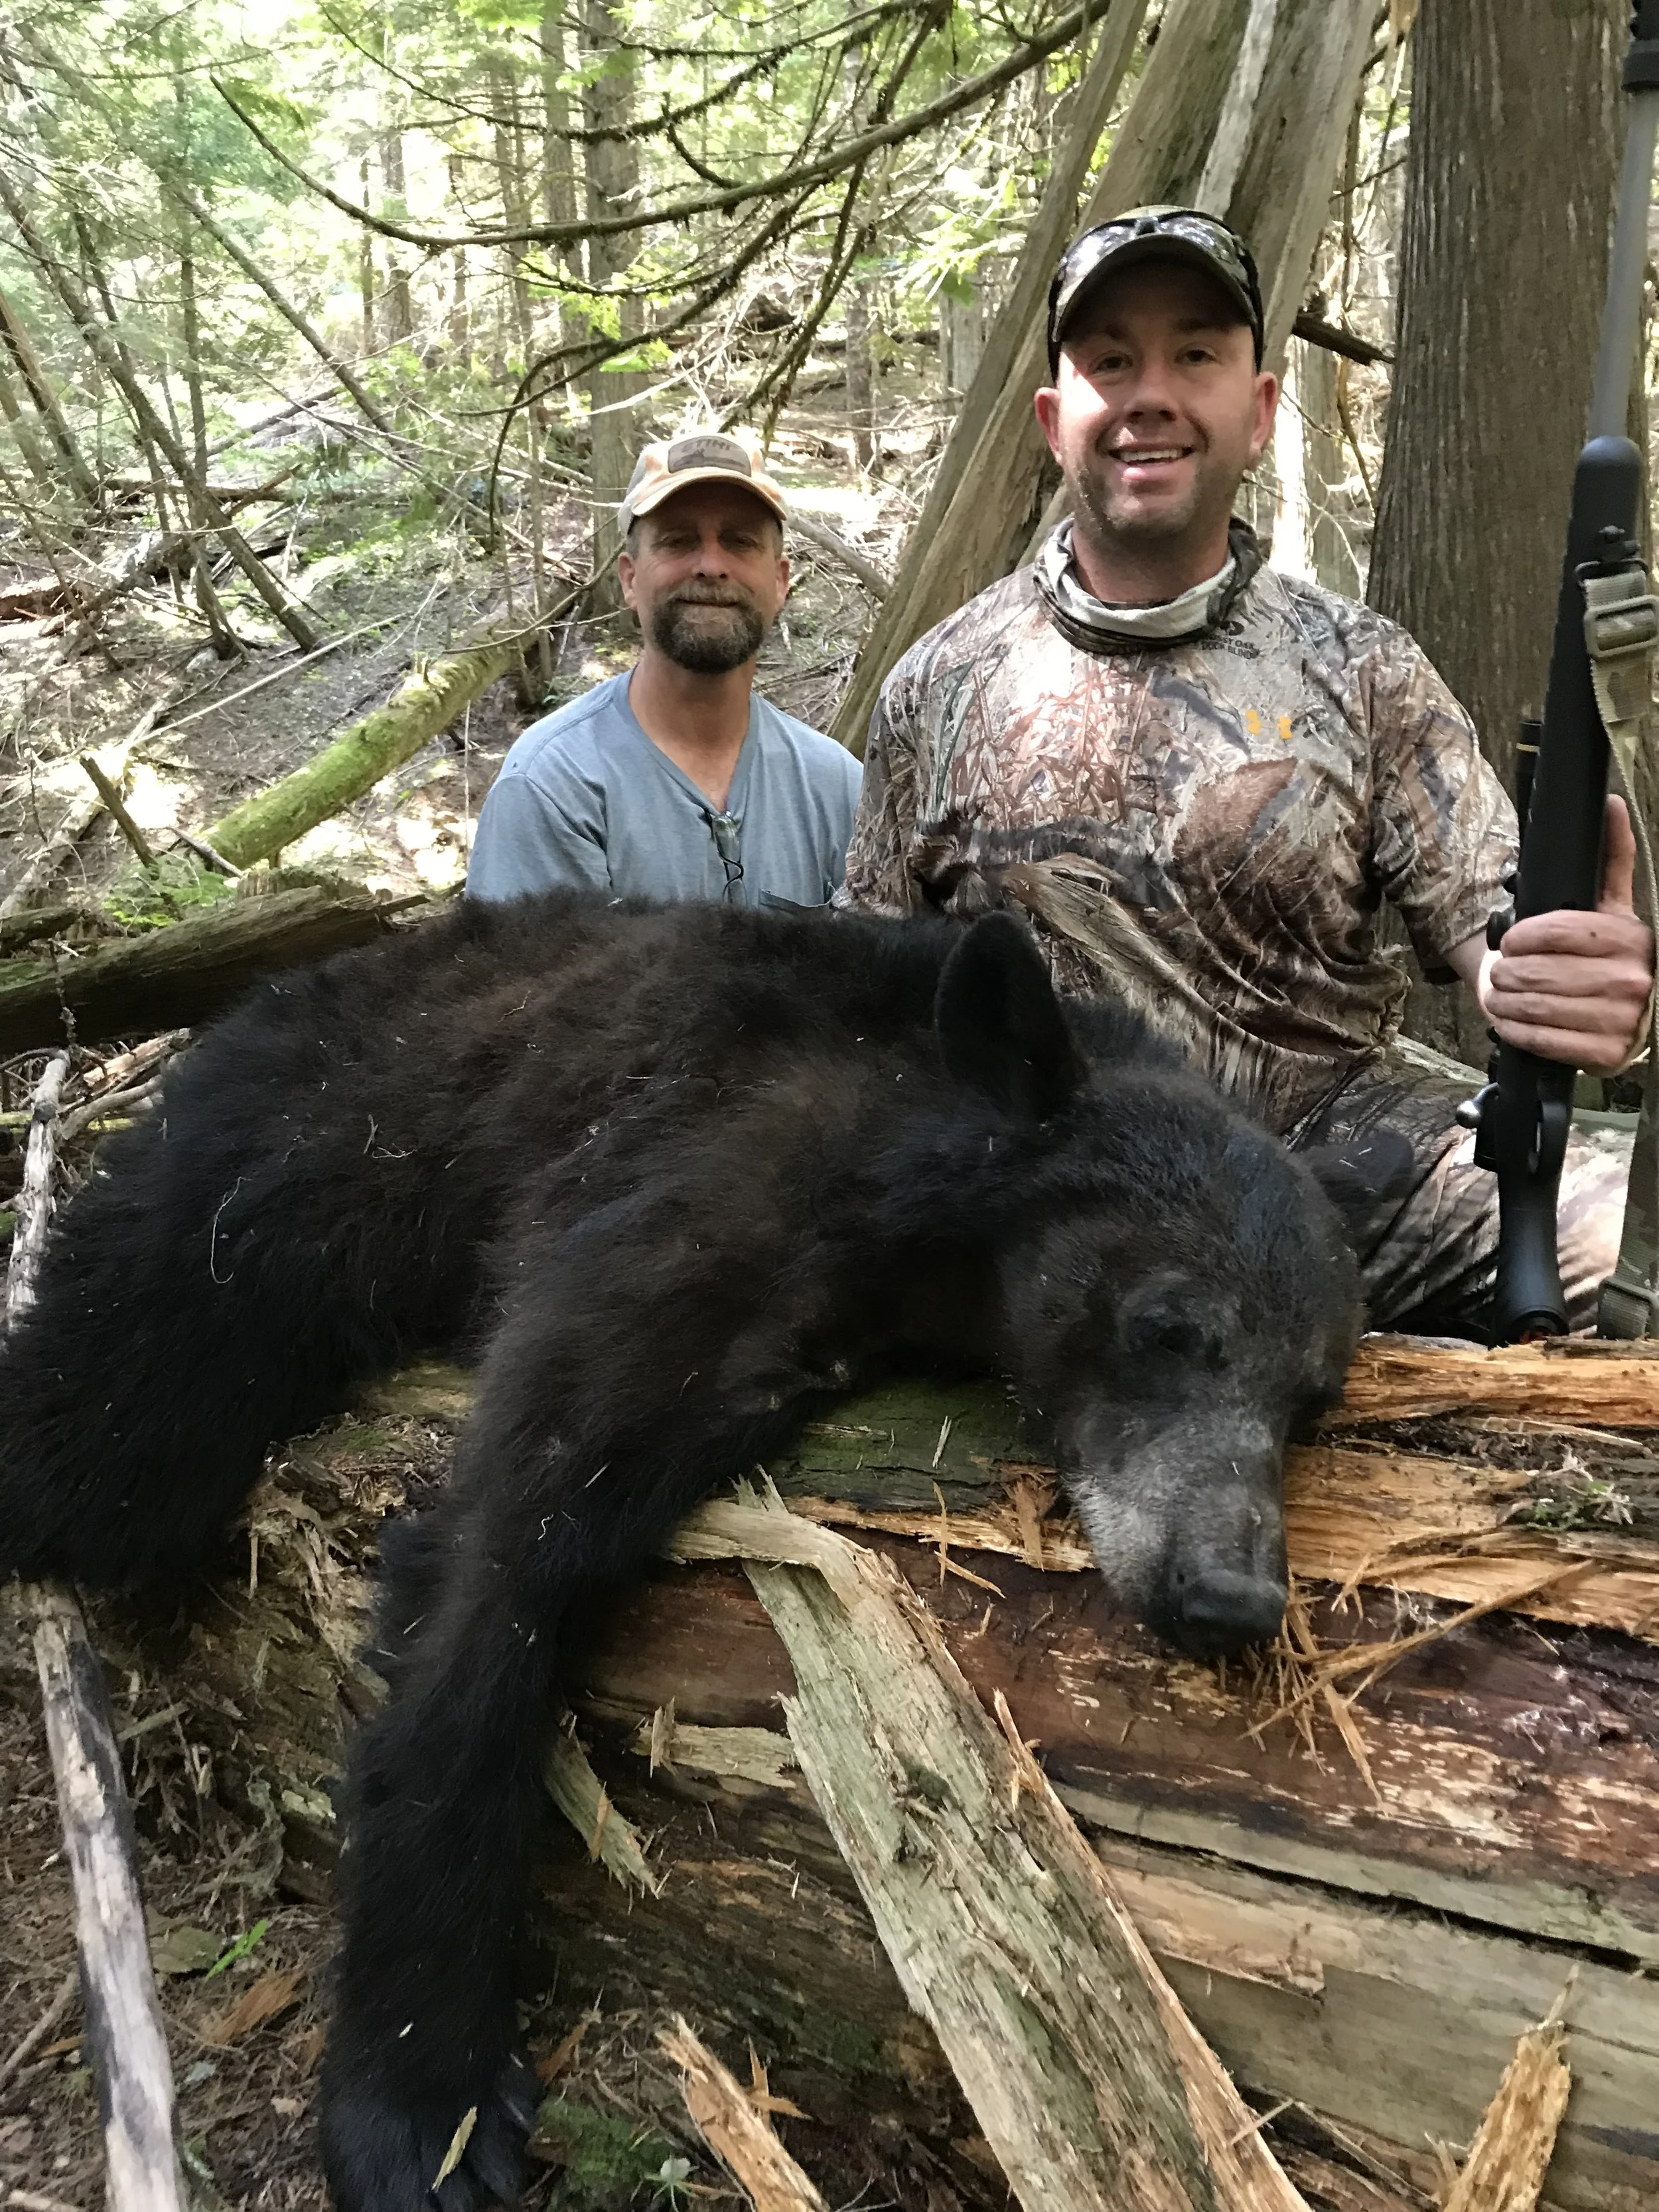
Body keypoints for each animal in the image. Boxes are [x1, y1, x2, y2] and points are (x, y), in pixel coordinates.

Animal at [0, 891, 1374, 2210]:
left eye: (1310, 1400)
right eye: (1168, 1323)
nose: (1231, 1590)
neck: (906, 1157)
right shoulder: (700, 1177)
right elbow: (509, 1545)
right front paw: (420, 2101)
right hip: (293, 1161)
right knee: (103, 1427)